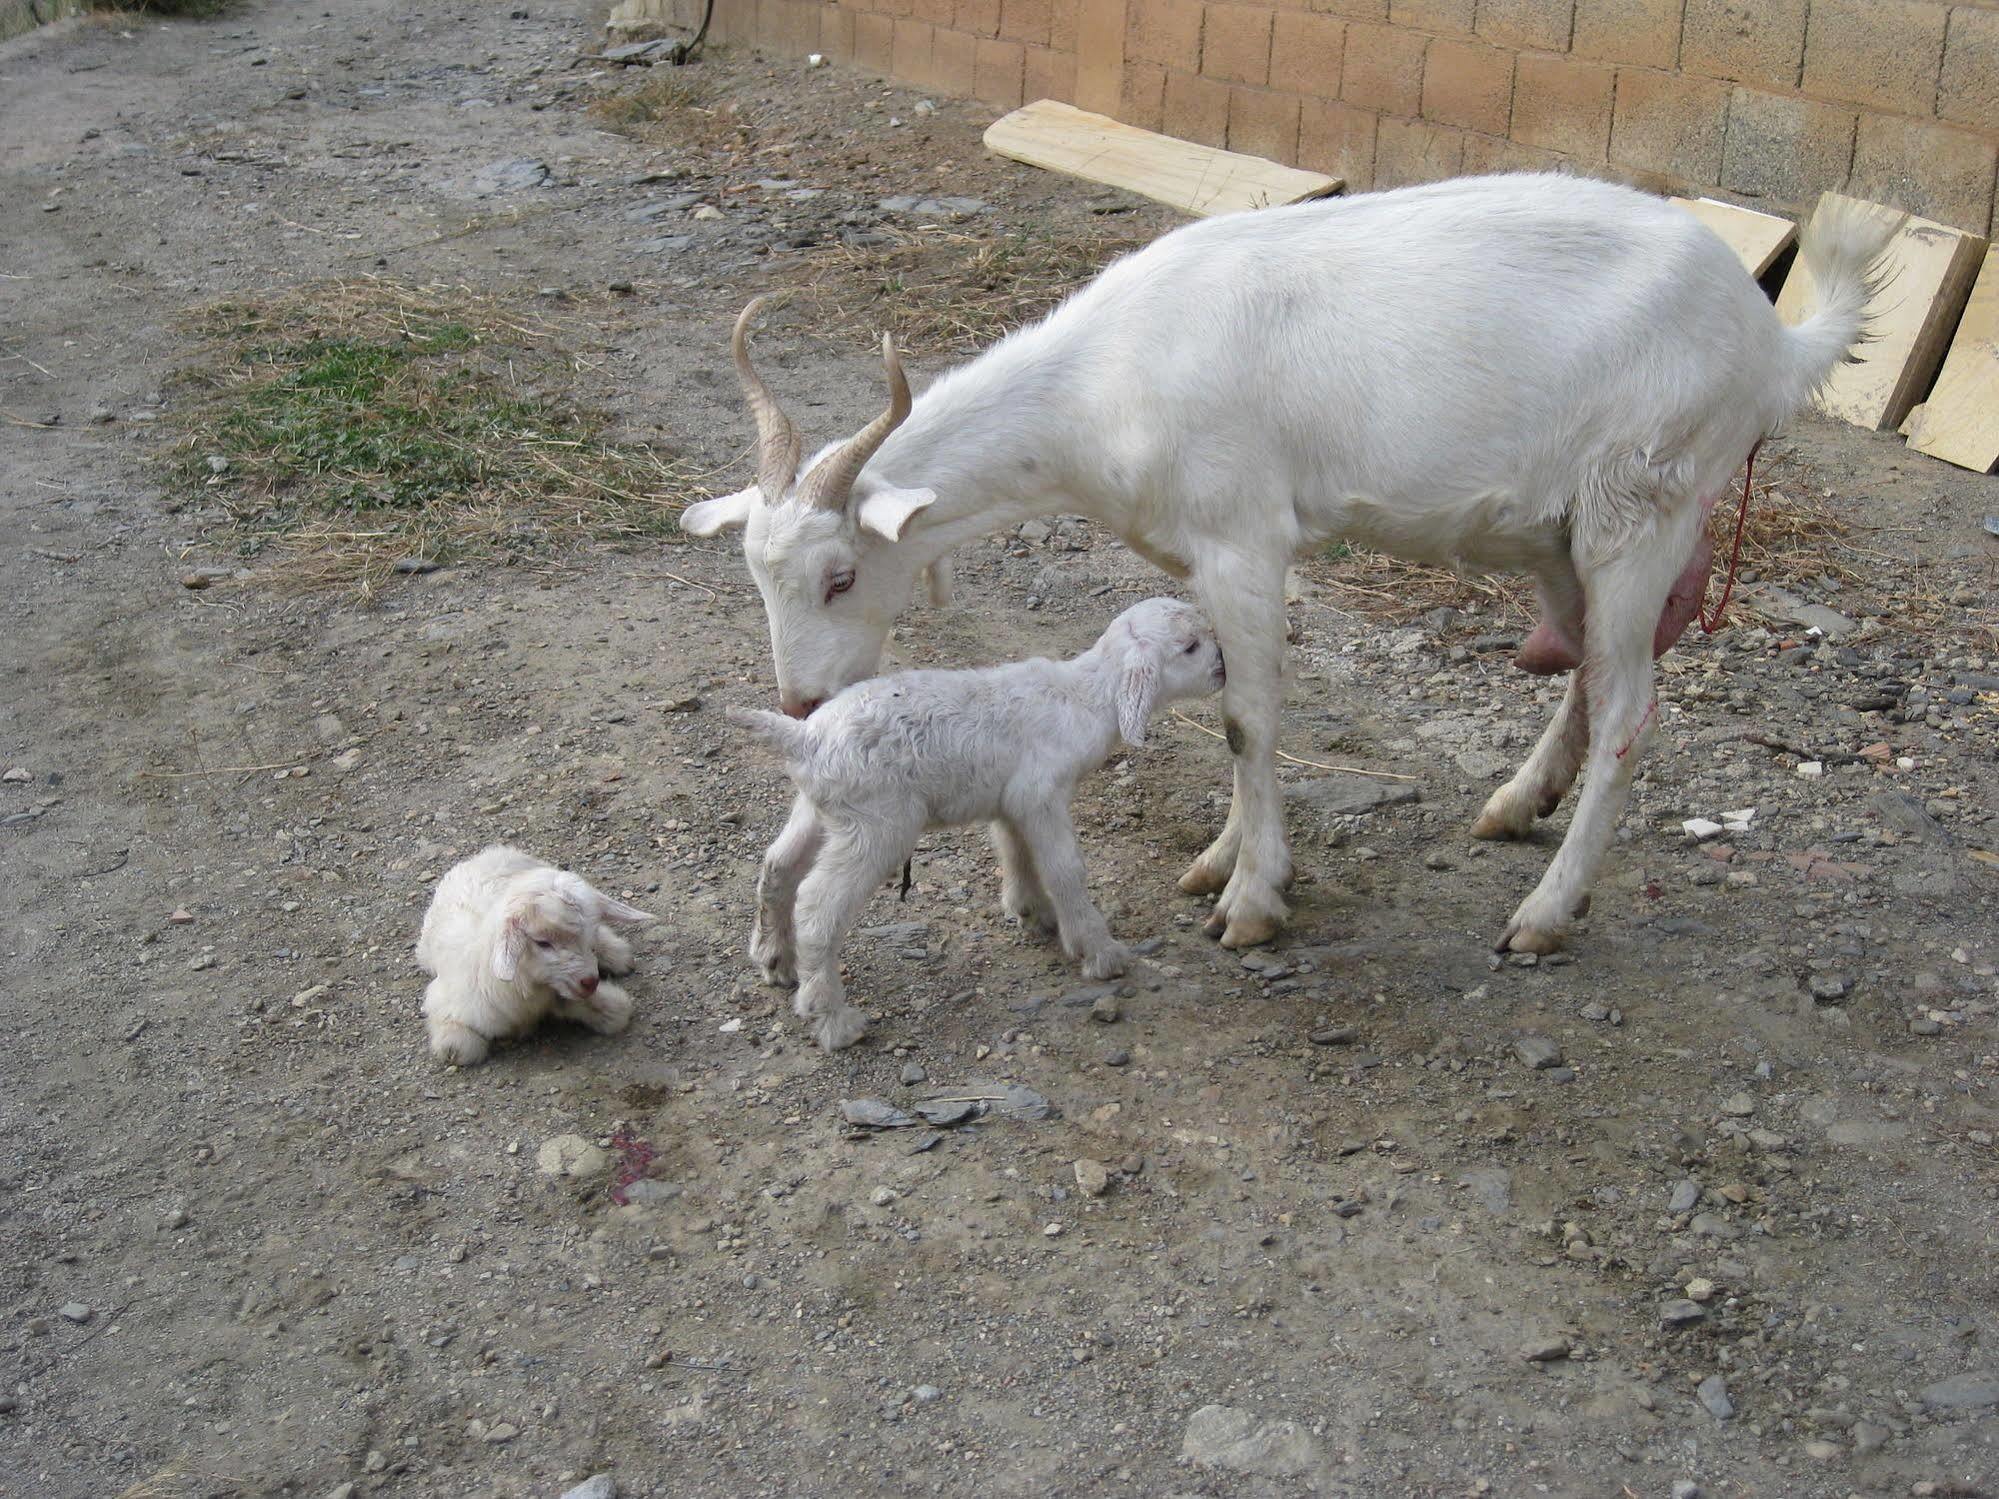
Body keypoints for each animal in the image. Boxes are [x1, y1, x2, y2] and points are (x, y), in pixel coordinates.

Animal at [683, 172, 1887, 951]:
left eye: (841, 575)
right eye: (754, 577)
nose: (801, 700)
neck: (1100, 385)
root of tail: (1773, 339)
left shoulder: (1244, 533)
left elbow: (1246, 720)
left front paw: (1254, 901)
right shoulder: (1197, 550)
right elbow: (1229, 699)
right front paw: (1223, 858)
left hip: (1644, 500)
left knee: (1633, 700)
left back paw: (1546, 912)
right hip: (1554, 529)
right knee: (1590, 665)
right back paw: (1514, 802)